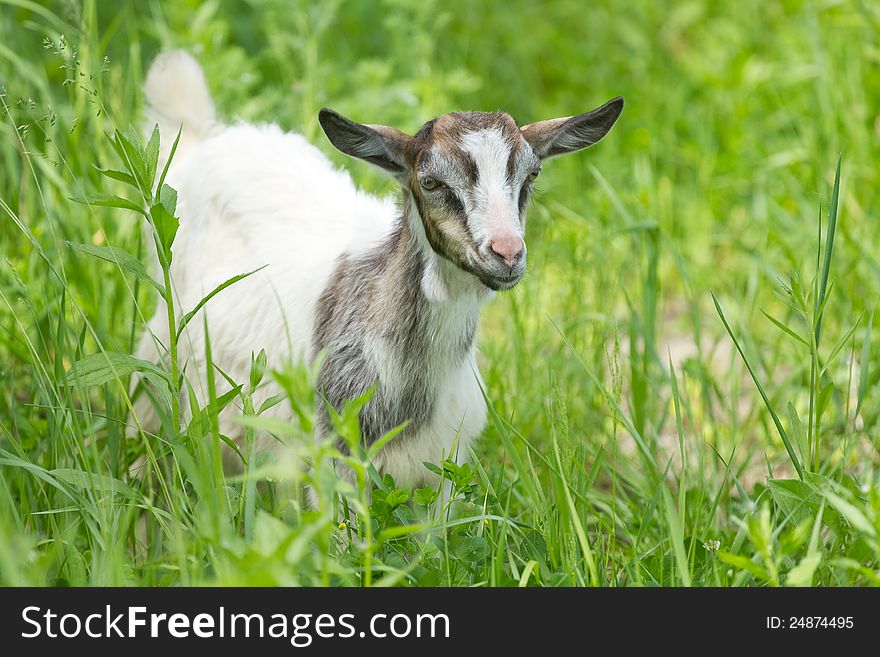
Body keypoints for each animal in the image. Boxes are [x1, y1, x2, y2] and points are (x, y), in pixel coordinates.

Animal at [134, 51, 624, 490]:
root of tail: (204, 137)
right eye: (430, 182)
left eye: (532, 175)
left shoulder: (444, 464)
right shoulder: (336, 456)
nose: (506, 253)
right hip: (157, 372)